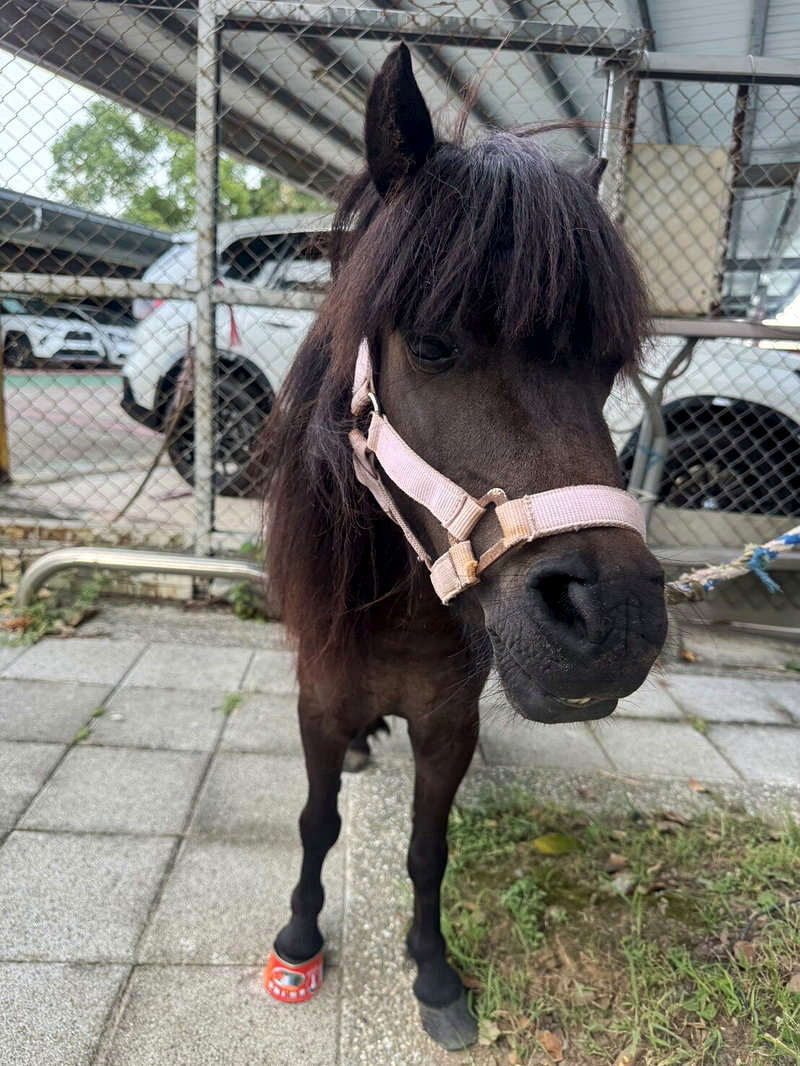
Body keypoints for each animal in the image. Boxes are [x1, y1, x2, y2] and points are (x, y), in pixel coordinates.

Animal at [258, 43, 668, 1050]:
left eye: (607, 366)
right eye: (434, 344)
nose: (613, 619)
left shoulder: (451, 722)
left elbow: (426, 847)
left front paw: (435, 973)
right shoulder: (317, 701)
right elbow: (317, 823)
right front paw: (299, 940)